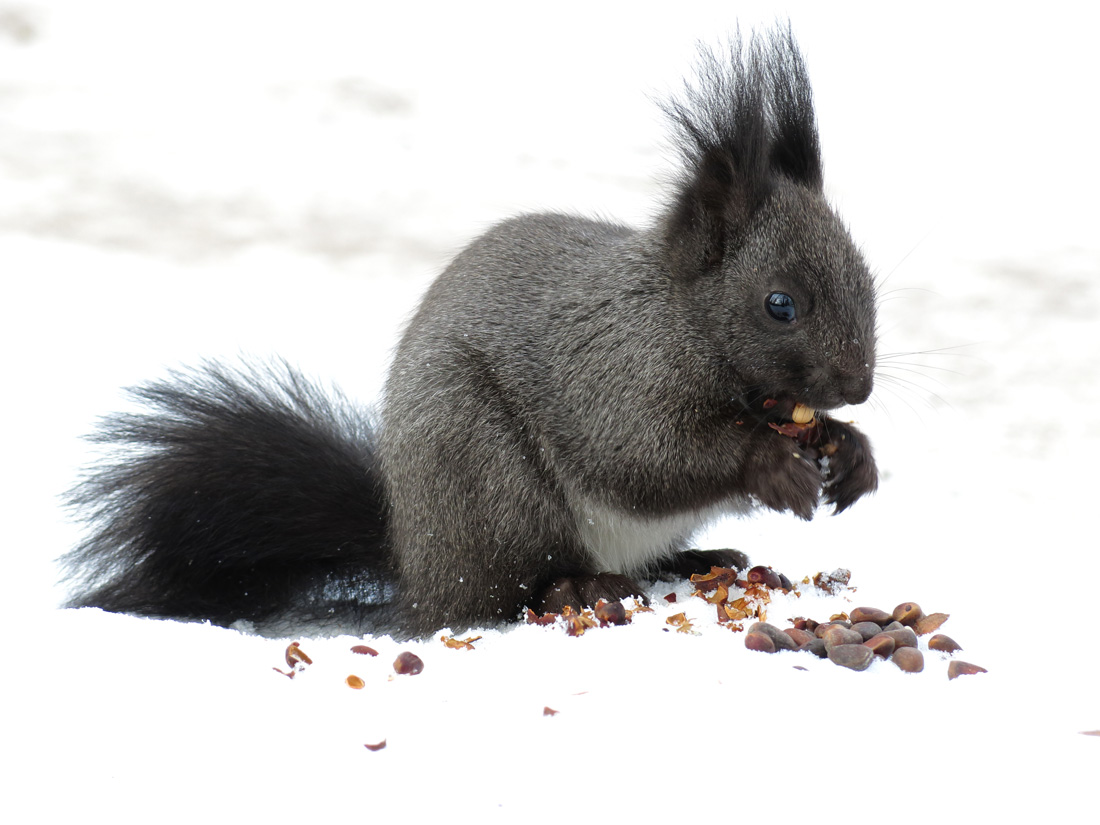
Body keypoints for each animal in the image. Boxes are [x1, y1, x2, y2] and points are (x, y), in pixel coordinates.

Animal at [64, 29, 880, 638]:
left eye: (866, 276)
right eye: (780, 304)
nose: (860, 385)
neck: (678, 317)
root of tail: (416, 563)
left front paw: (851, 451)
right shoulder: (611, 371)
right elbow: (641, 455)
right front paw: (771, 462)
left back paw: (699, 559)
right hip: (484, 474)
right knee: (500, 591)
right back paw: (574, 587)